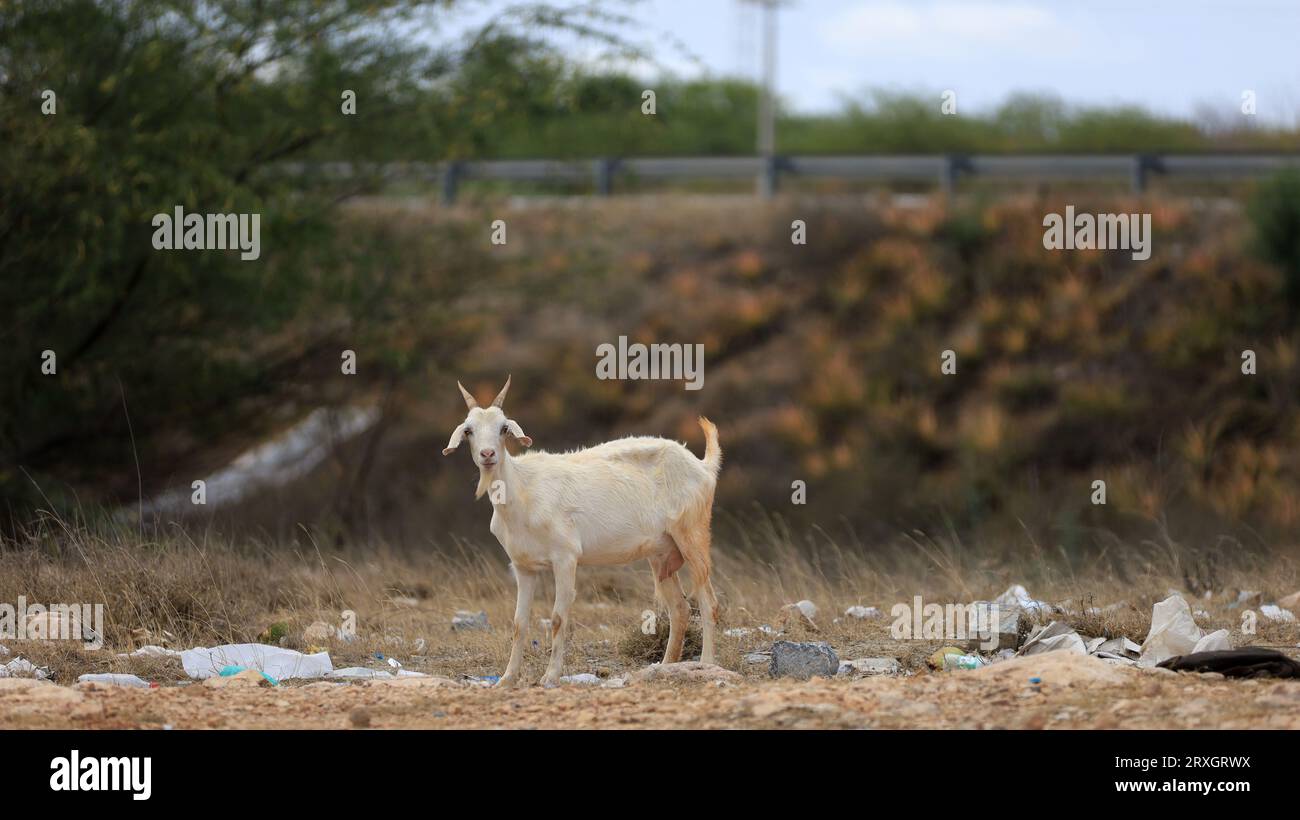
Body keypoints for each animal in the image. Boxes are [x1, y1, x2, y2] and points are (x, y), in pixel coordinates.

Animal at [441, 376, 717, 686]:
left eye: (503, 428)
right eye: (469, 430)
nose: (487, 454)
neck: (523, 491)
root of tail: (703, 466)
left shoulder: (565, 558)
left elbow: (558, 618)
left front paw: (550, 677)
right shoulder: (523, 567)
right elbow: (518, 623)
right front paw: (506, 679)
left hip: (692, 536)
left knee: (708, 602)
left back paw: (706, 664)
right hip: (661, 554)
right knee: (680, 609)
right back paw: (663, 668)